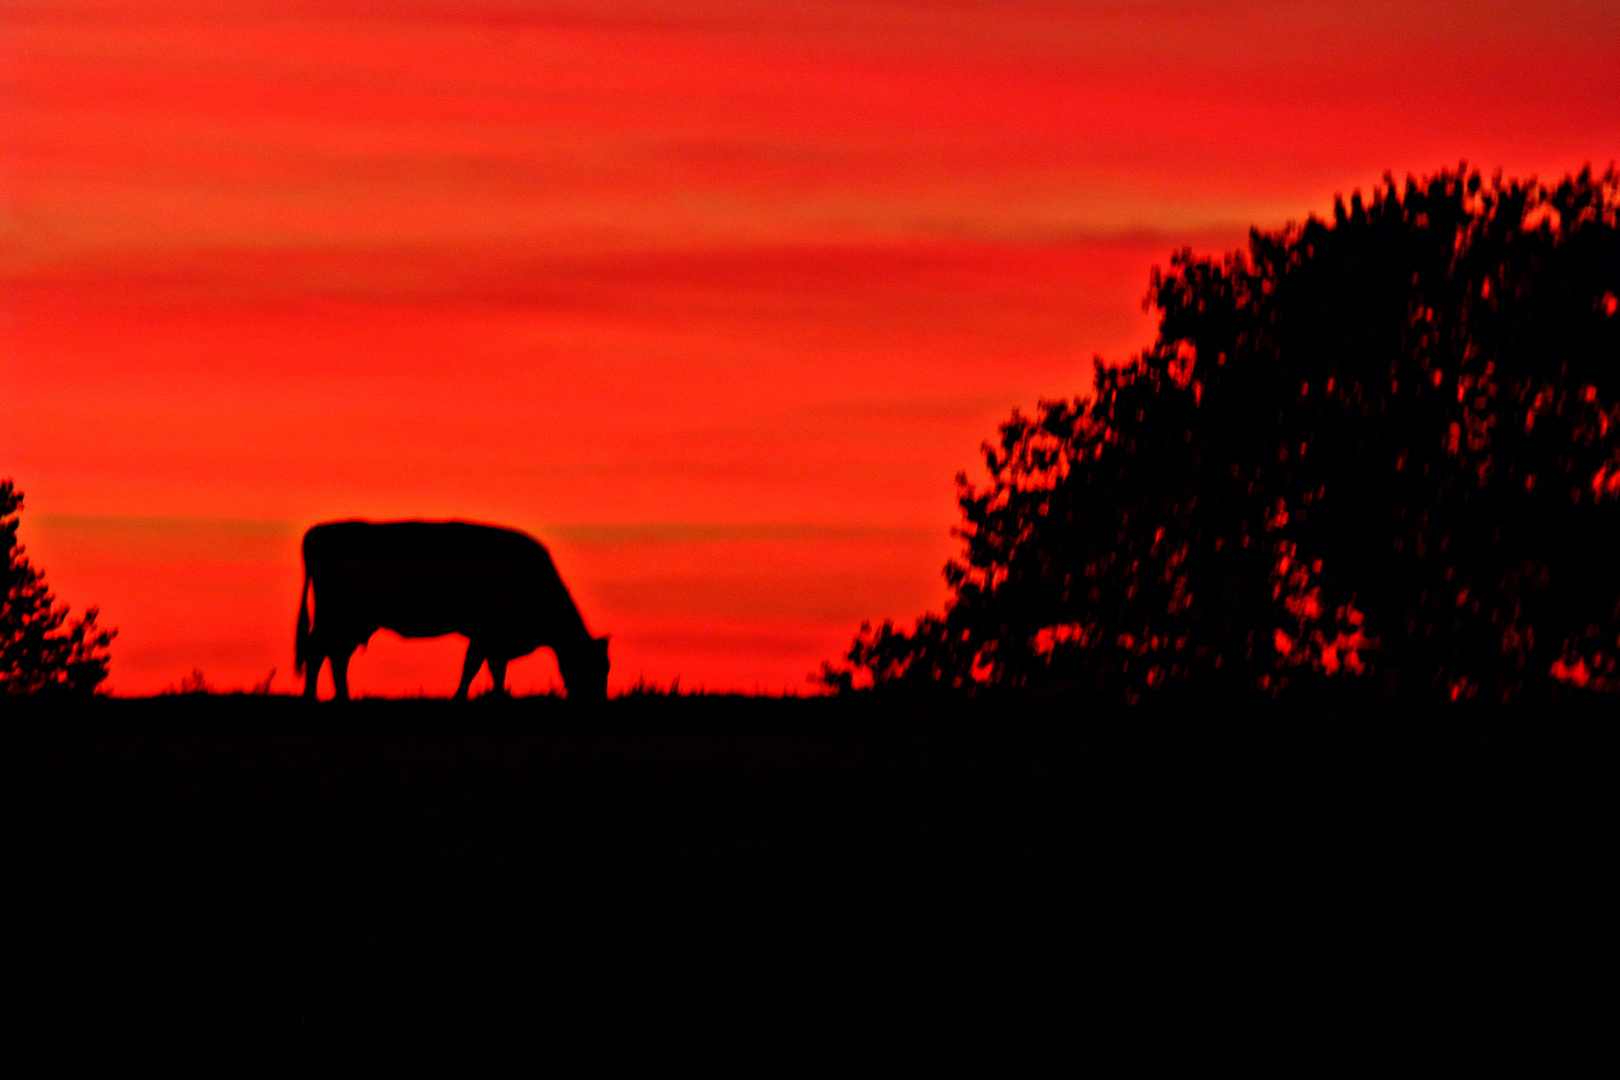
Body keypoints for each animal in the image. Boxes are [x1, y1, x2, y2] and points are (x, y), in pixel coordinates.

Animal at [293, 521, 609, 702]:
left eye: (606, 667)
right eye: (594, 665)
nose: (598, 701)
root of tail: (318, 533)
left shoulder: (492, 639)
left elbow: (488, 669)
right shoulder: (489, 634)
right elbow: (477, 668)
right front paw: (469, 698)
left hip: (353, 623)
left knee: (335, 655)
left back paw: (341, 697)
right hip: (337, 617)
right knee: (317, 650)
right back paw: (312, 697)